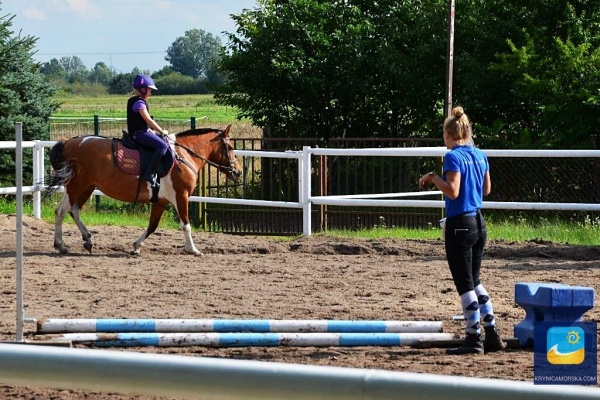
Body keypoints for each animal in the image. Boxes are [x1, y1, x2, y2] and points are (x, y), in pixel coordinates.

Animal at [43, 126, 243, 256]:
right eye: (230, 147)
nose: (238, 171)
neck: (184, 156)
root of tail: (68, 142)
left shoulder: (161, 201)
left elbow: (152, 225)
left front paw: (137, 246)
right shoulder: (181, 196)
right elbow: (186, 224)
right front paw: (193, 249)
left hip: (86, 187)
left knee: (71, 210)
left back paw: (83, 240)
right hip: (76, 186)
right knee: (63, 211)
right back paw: (62, 244)